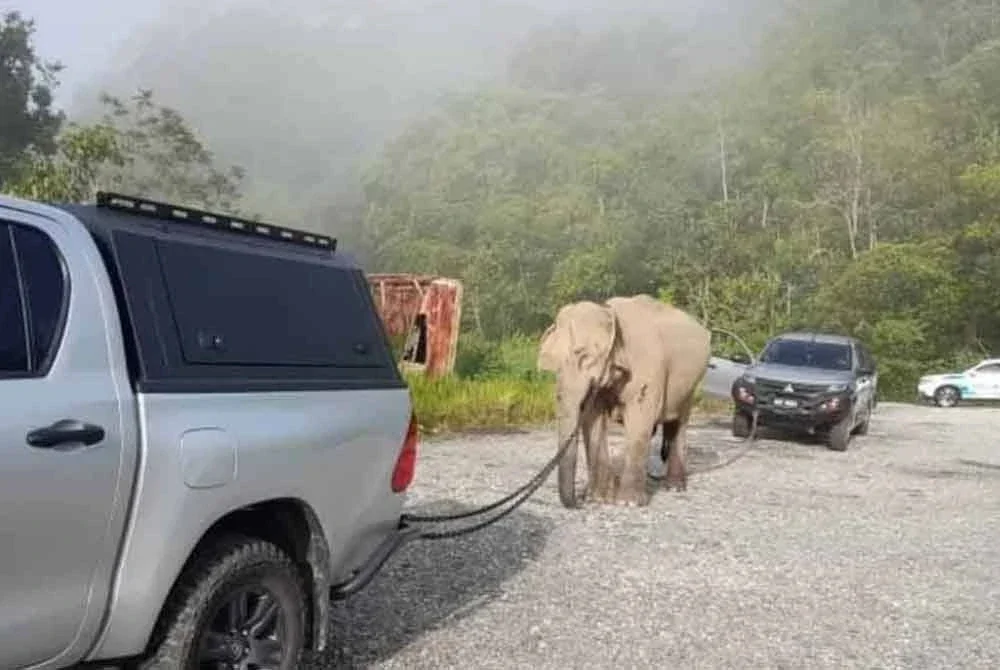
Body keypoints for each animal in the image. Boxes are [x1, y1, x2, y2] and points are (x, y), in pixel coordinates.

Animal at [536, 294, 712, 508]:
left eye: (584, 356)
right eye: (555, 363)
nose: (579, 502)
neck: (609, 312)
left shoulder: (647, 369)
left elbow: (640, 417)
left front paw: (628, 503)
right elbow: (594, 419)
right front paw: (597, 498)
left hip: (691, 385)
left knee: (679, 422)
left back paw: (674, 487)